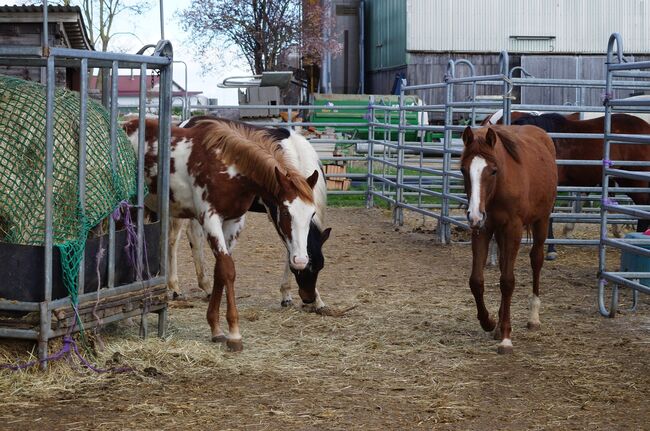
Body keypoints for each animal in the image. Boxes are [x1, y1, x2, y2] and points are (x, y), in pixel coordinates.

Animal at [122, 118, 318, 352]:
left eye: (312, 213)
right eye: (286, 212)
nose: (300, 260)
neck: (229, 168)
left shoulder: (233, 221)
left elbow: (220, 270)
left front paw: (216, 329)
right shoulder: (210, 218)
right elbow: (228, 270)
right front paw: (234, 333)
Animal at [170, 115, 332, 310]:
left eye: (320, 267)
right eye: (301, 270)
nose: (308, 298)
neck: (294, 154)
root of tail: (187, 122)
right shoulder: (277, 213)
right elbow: (289, 246)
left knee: (194, 236)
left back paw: (206, 287)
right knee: (174, 239)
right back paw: (176, 288)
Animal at [456, 125, 556, 354]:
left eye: (493, 170)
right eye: (463, 170)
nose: (473, 214)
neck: (497, 190)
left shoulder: (513, 228)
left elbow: (508, 281)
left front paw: (506, 338)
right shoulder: (483, 229)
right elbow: (476, 280)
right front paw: (490, 322)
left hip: (541, 220)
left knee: (536, 260)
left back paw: (533, 318)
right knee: (503, 265)